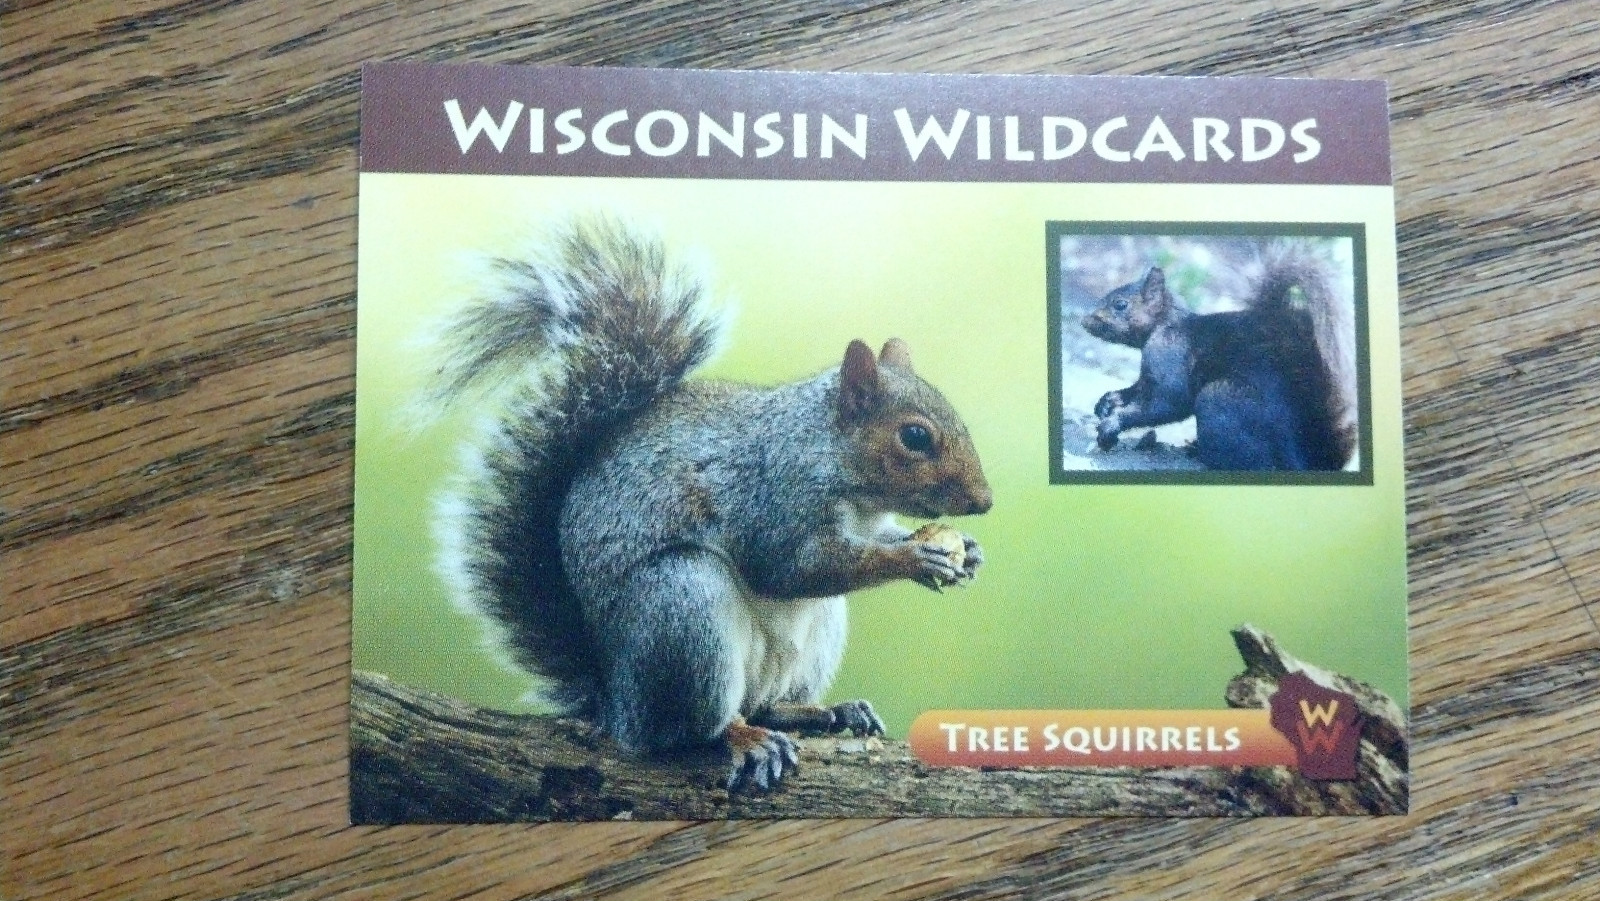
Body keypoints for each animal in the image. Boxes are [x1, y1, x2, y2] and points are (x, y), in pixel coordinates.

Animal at [433, 219, 992, 794]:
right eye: (914, 436)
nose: (984, 502)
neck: (837, 463)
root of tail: (618, 705)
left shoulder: (864, 520)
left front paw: (965, 551)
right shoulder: (774, 499)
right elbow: (792, 569)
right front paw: (915, 557)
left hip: (811, 632)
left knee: (767, 703)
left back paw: (825, 711)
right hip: (683, 609)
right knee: (692, 729)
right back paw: (744, 738)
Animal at [1080, 244, 1357, 471]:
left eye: (1120, 304)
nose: (1084, 321)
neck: (1165, 325)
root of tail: (1302, 461)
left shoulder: (1170, 357)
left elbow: (1168, 402)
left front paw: (1112, 423)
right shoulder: (1149, 375)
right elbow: (1136, 390)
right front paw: (1107, 402)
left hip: (1218, 401)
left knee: (1253, 464)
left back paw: (1198, 453)